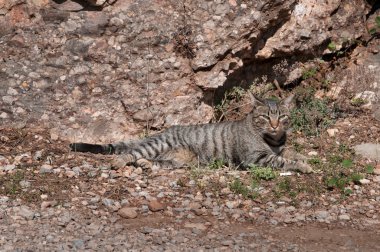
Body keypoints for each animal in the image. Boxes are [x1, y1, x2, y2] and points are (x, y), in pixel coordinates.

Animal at [70, 93, 314, 174]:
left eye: (282, 117)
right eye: (264, 117)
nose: (274, 125)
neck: (273, 140)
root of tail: (167, 129)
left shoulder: (280, 147)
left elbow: (291, 153)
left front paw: (306, 158)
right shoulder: (255, 159)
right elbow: (283, 161)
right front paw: (303, 166)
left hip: (180, 161)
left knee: (156, 161)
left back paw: (147, 165)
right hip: (157, 145)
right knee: (130, 153)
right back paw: (121, 162)